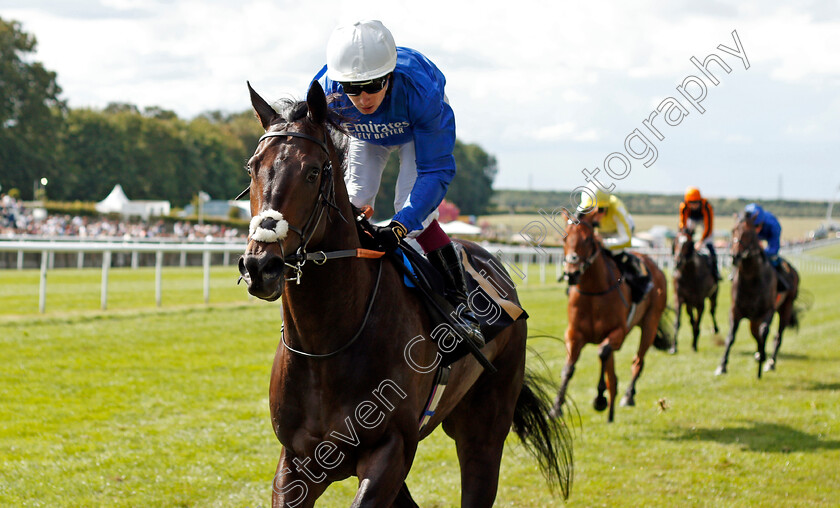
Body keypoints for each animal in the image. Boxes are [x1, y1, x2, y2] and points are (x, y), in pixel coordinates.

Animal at [240, 81, 576, 506]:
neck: (327, 346)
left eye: (313, 171)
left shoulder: (392, 448)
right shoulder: (299, 459)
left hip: (483, 426)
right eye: (252, 167)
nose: (260, 266)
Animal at [552, 212, 668, 422]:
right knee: (612, 372)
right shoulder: (573, 334)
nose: (571, 274)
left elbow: (603, 353)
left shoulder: (618, 333)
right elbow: (569, 368)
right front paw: (556, 407)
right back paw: (612, 411)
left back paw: (627, 396)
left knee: (637, 361)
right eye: (564, 238)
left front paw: (599, 399)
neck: (593, 292)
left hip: (650, 323)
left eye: (588, 239)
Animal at [716, 213, 800, 378]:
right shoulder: (735, 310)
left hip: (785, 307)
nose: (735, 256)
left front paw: (761, 363)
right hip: (753, 318)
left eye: (749, 233)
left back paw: (770, 362)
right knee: (755, 333)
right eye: (733, 230)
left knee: (777, 336)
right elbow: (731, 337)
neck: (751, 279)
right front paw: (722, 365)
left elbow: (764, 332)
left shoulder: (768, 311)